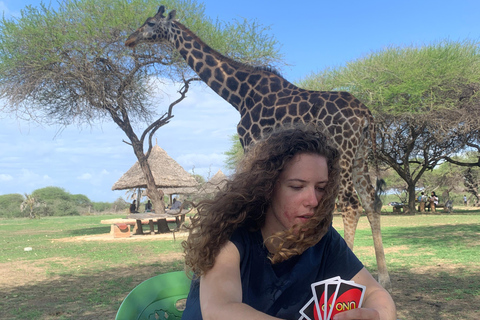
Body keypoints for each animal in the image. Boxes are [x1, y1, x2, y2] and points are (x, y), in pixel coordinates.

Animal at [126, 5, 390, 290]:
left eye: (150, 24)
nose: (130, 39)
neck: (239, 94)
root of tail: (366, 115)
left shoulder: (251, 140)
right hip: (359, 156)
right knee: (371, 201)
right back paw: (384, 277)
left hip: (342, 151)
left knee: (351, 204)